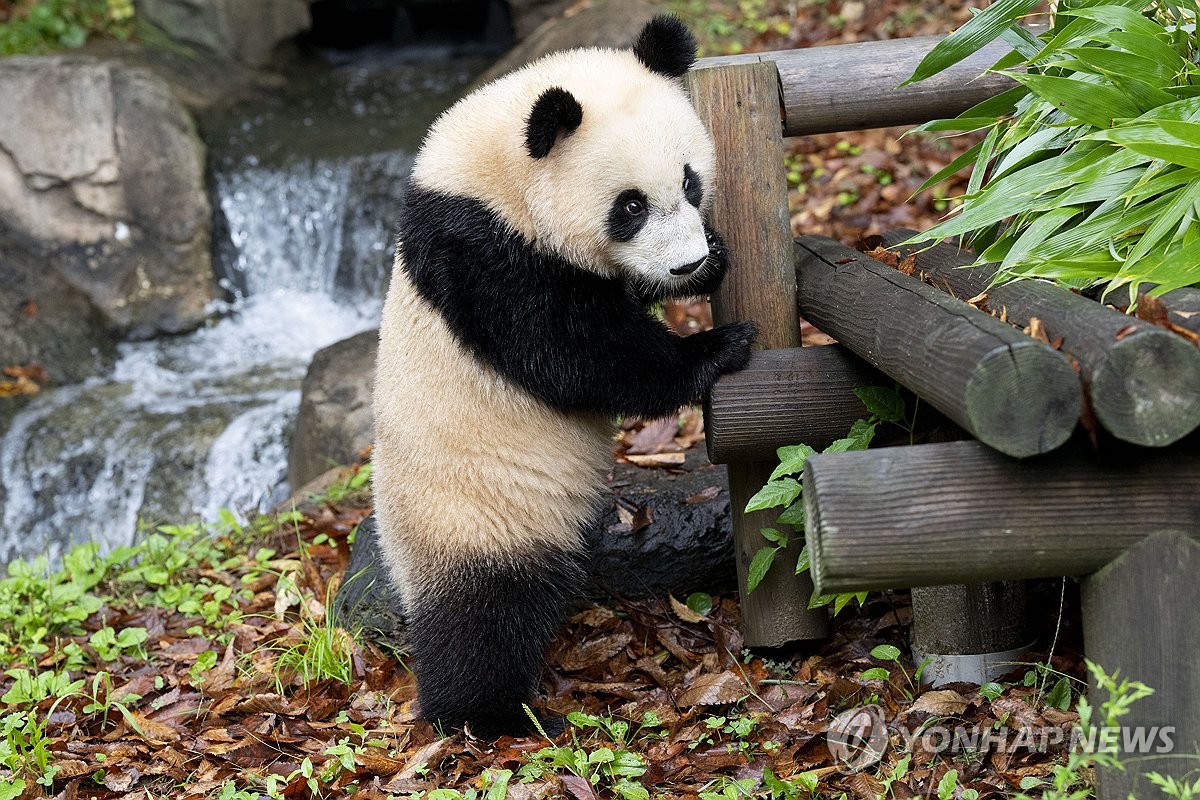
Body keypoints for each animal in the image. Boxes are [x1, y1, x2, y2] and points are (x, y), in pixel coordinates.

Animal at [369, 14, 753, 738]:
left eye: (691, 182)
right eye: (629, 207)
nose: (687, 264)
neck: (490, 170)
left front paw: (713, 259)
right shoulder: (485, 253)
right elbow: (576, 355)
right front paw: (716, 349)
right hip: (473, 516)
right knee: (483, 622)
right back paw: (485, 715)